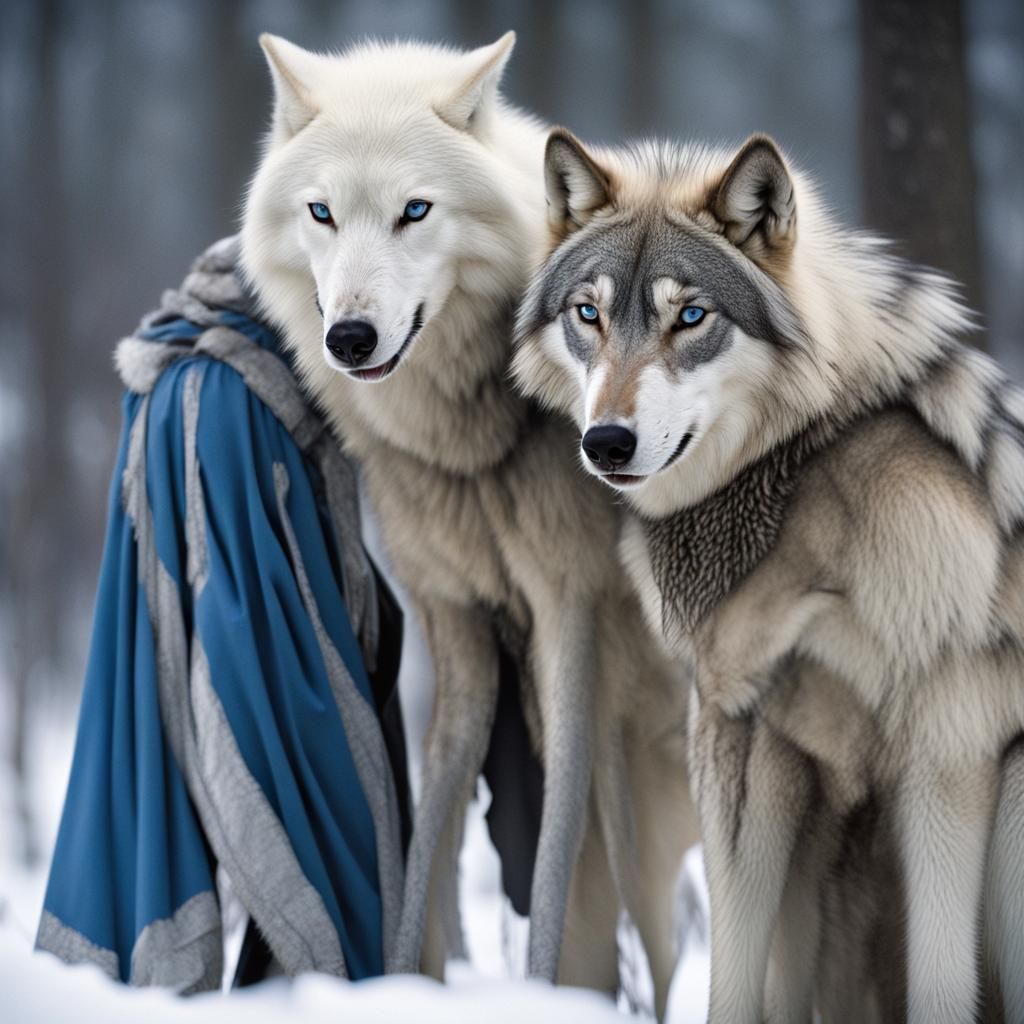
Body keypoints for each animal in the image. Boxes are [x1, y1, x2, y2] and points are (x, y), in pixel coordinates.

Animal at [239, 33, 696, 1012]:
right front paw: (397, 985)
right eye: (322, 212)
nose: (351, 339)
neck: (471, 444)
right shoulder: (453, 621)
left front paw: (540, 998)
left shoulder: (569, 616)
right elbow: (430, 826)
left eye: (415, 210)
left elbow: (556, 847)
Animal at [514, 128, 1024, 1022]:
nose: (606, 443)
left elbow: (941, 984)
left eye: (691, 316)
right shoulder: (738, 732)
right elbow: (733, 969)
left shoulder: (949, 745)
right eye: (589, 313)